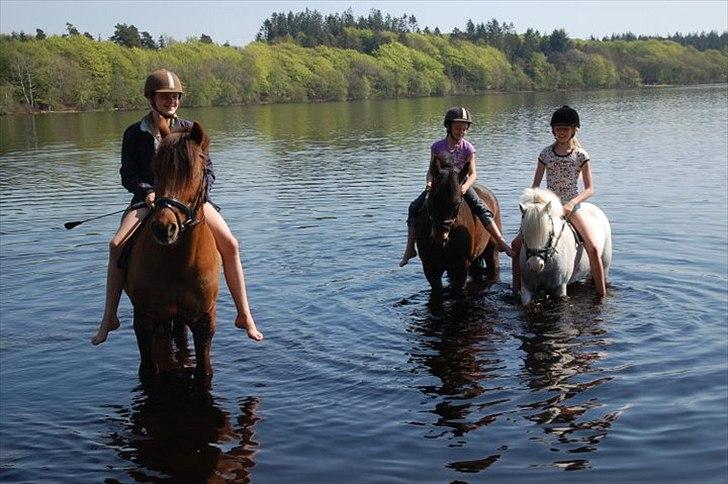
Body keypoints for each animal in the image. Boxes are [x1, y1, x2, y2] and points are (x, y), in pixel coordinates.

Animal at [123, 121, 220, 382]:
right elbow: (148, 371)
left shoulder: (204, 319)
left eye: (196, 170)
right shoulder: (144, 318)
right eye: (156, 169)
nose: (164, 227)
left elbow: (204, 372)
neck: (178, 263)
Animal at [412, 156, 504, 292]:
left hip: (492, 250)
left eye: (457, 203)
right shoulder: (430, 268)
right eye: (431, 199)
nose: (439, 237)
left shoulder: (460, 267)